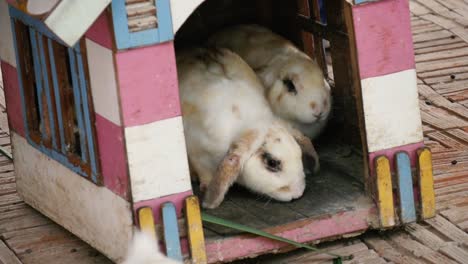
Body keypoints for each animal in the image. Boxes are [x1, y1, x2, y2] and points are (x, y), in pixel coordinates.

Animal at [176, 47, 318, 208]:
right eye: (272, 163)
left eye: (299, 153)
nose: (298, 192)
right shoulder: (196, 153)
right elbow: (204, 172)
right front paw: (206, 190)